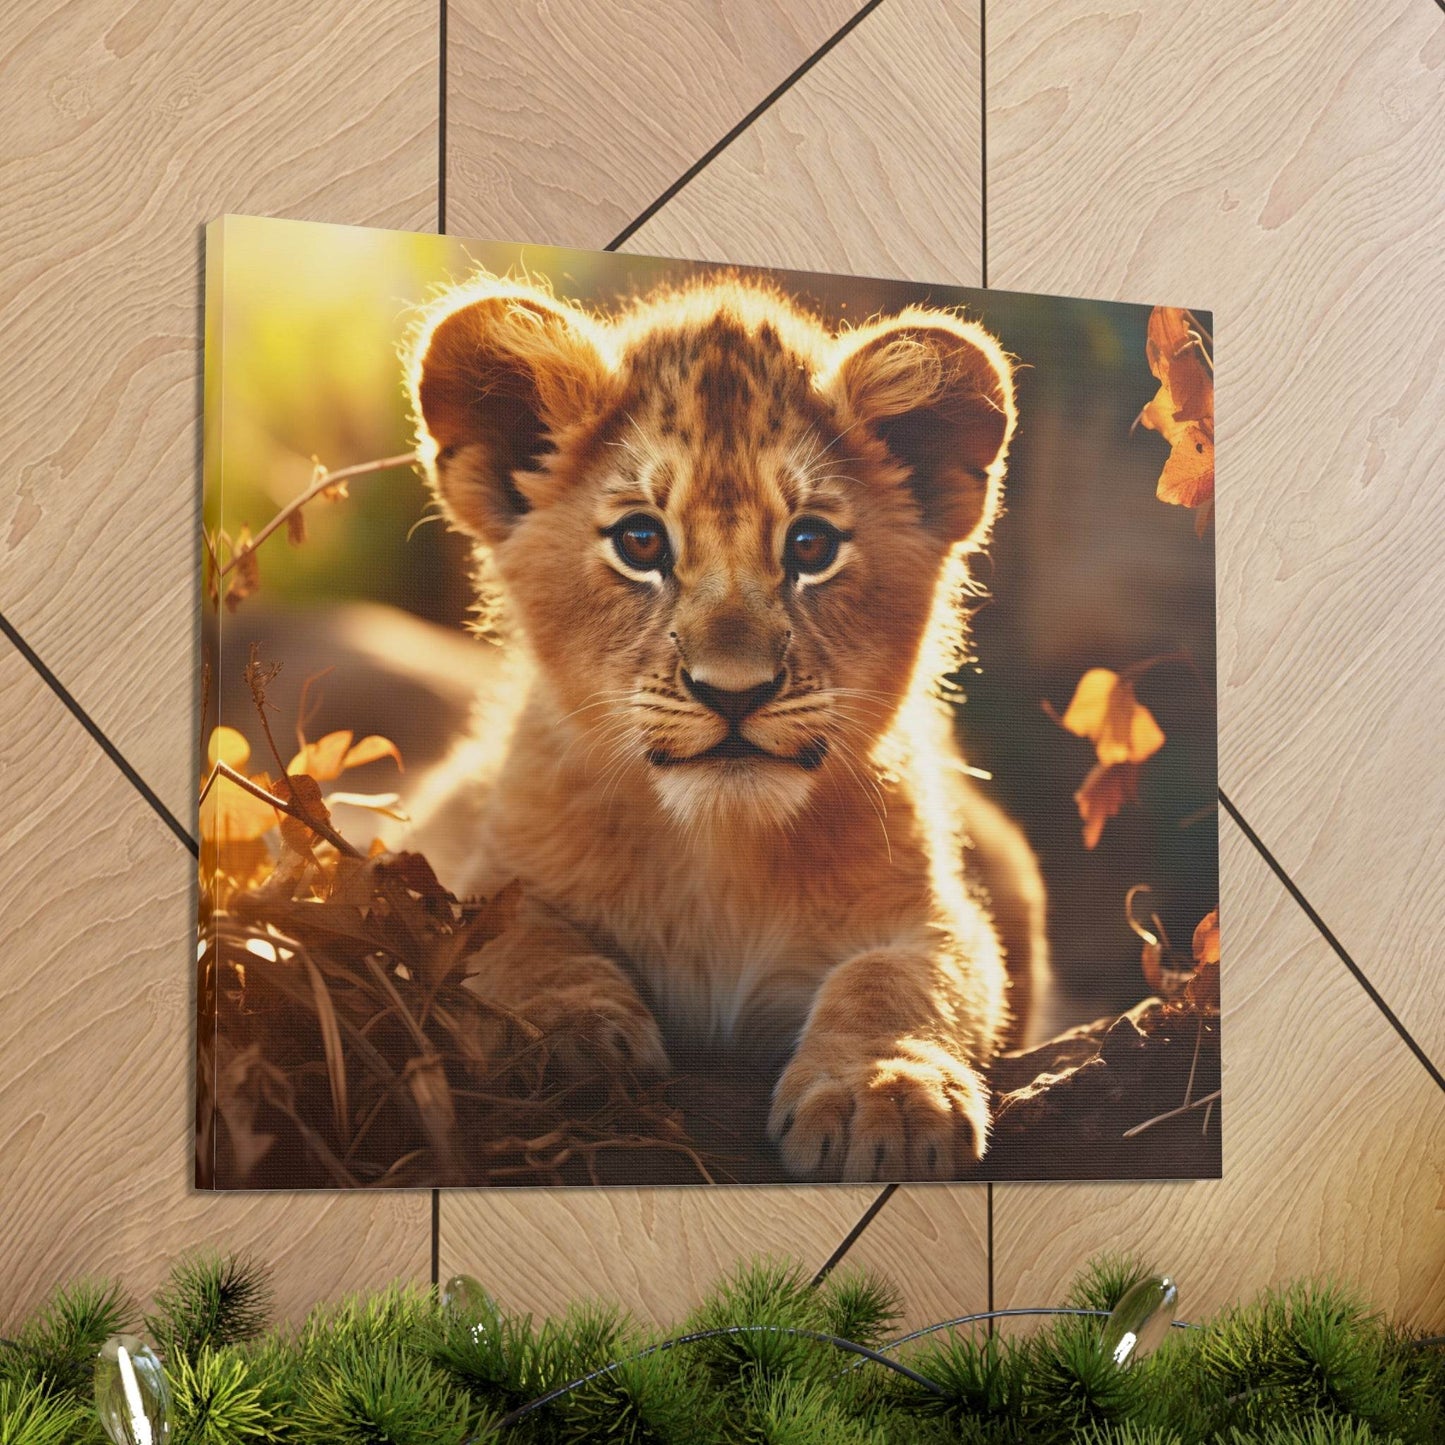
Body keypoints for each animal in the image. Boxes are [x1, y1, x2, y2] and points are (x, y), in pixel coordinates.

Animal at [397, 270, 1052, 1181]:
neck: (717, 852)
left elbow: (902, 978)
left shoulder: (935, 910)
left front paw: (882, 1092)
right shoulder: (462, 857)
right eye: (640, 540)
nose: (733, 692)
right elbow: (510, 935)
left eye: (810, 546)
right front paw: (565, 1036)